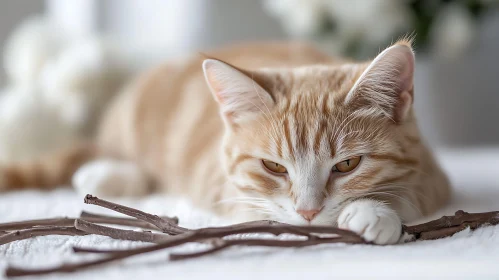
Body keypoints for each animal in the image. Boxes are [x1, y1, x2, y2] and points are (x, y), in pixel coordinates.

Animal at [0, 40, 452, 244]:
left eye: (346, 165)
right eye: (273, 167)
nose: (308, 212)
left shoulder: (434, 176)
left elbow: (410, 193)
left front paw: (373, 212)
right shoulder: (221, 187)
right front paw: (373, 213)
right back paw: (107, 173)